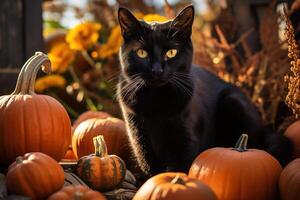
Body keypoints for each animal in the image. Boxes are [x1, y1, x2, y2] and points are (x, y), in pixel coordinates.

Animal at [116, 5, 292, 176]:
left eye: (171, 52)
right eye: (142, 53)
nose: (157, 70)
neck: (156, 101)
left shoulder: (185, 140)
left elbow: (179, 167)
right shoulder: (140, 139)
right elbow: (151, 169)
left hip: (233, 101)